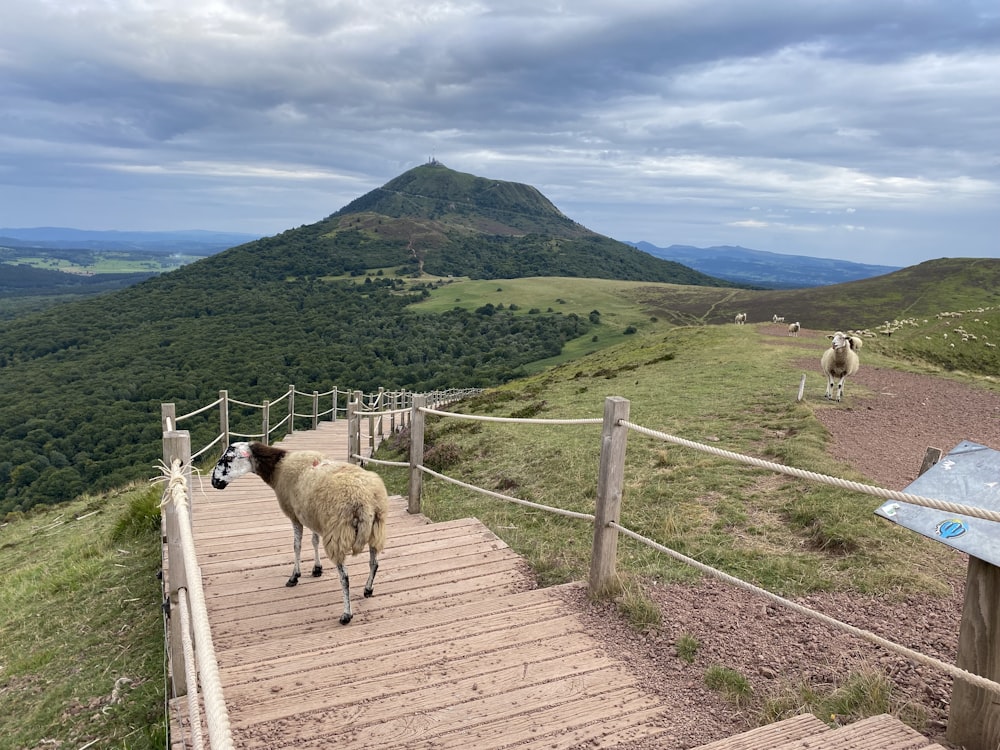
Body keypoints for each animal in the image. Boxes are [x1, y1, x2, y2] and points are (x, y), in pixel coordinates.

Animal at [209, 444, 388, 624]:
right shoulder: (312, 515)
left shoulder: (295, 515)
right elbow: (314, 540)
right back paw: (368, 589)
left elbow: (297, 546)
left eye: (228, 458)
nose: (214, 482)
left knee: (345, 577)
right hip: (376, 530)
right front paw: (317, 569)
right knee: (374, 563)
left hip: (338, 533)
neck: (278, 467)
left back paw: (346, 614)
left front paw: (294, 576)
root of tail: (365, 501)